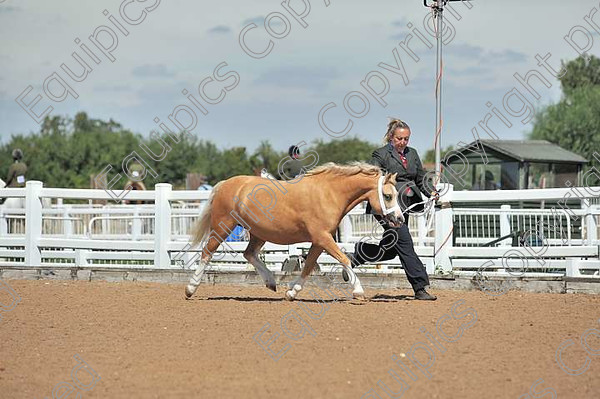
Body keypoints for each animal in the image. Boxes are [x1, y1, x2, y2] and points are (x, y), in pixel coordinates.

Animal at [185, 162, 406, 300]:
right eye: (387, 196)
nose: (400, 219)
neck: (329, 193)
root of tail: (226, 184)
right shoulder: (323, 238)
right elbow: (344, 259)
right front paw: (358, 291)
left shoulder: (319, 241)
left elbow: (308, 266)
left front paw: (291, 292)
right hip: (223, 226)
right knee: (207, 252)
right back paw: (190, 288)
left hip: (258, 233)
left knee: (249, 254)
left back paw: (271, 282)